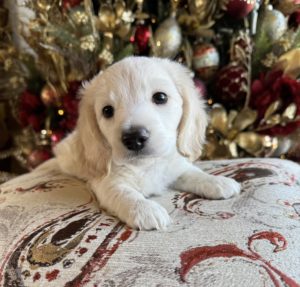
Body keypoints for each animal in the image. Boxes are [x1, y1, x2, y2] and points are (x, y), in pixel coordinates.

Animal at [54, 56, 241, 232]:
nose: (134, 138)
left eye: (160, 97)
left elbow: (192, 172)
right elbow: (123, 192)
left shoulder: (174, 166)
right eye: (107, 111)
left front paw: (216, 181)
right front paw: (145, 209)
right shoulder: (105, 182)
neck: (146, 164)